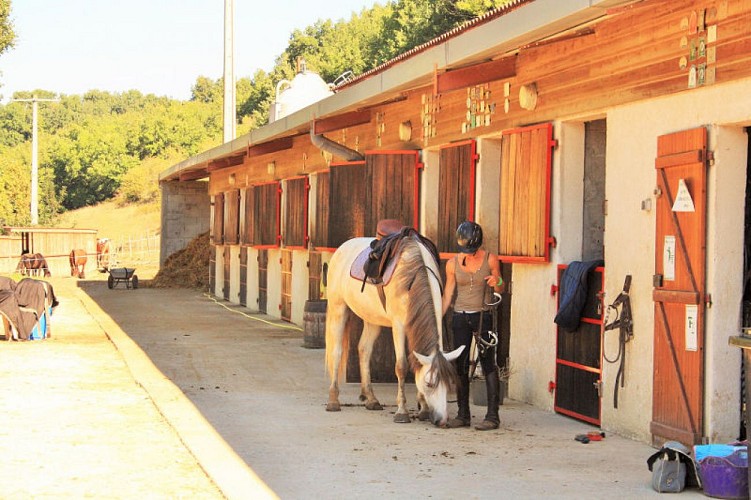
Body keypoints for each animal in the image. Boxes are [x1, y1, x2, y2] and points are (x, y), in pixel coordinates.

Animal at [328, 230, 464, 426]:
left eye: (449, 384)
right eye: (429, 384)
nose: (442, 420)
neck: (412, 275)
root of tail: (343, 247)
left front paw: (423, 409)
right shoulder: (399, 325)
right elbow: (401, 366)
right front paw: (402, 412)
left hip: (372, 318)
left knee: (364, 350)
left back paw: (371, 399)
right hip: (338, 308)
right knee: (337, 352)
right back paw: (333, 400)